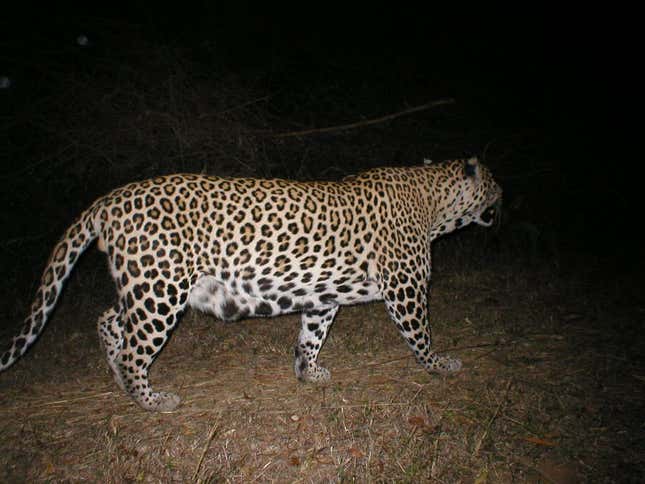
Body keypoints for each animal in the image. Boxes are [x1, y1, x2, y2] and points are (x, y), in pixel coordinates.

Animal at [0, 157, 500, 410]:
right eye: (494, 183)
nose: (505, 196)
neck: (435, 204)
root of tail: (108, 199)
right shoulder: (406, 286)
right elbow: (420, 334)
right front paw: (438, 365)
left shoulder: (324, 294)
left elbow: (311, 334)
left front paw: (307, 373)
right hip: (161, 291)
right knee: (133, 348)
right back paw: (151, 399)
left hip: (143, 284)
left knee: (108, 320)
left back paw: (121, 382)